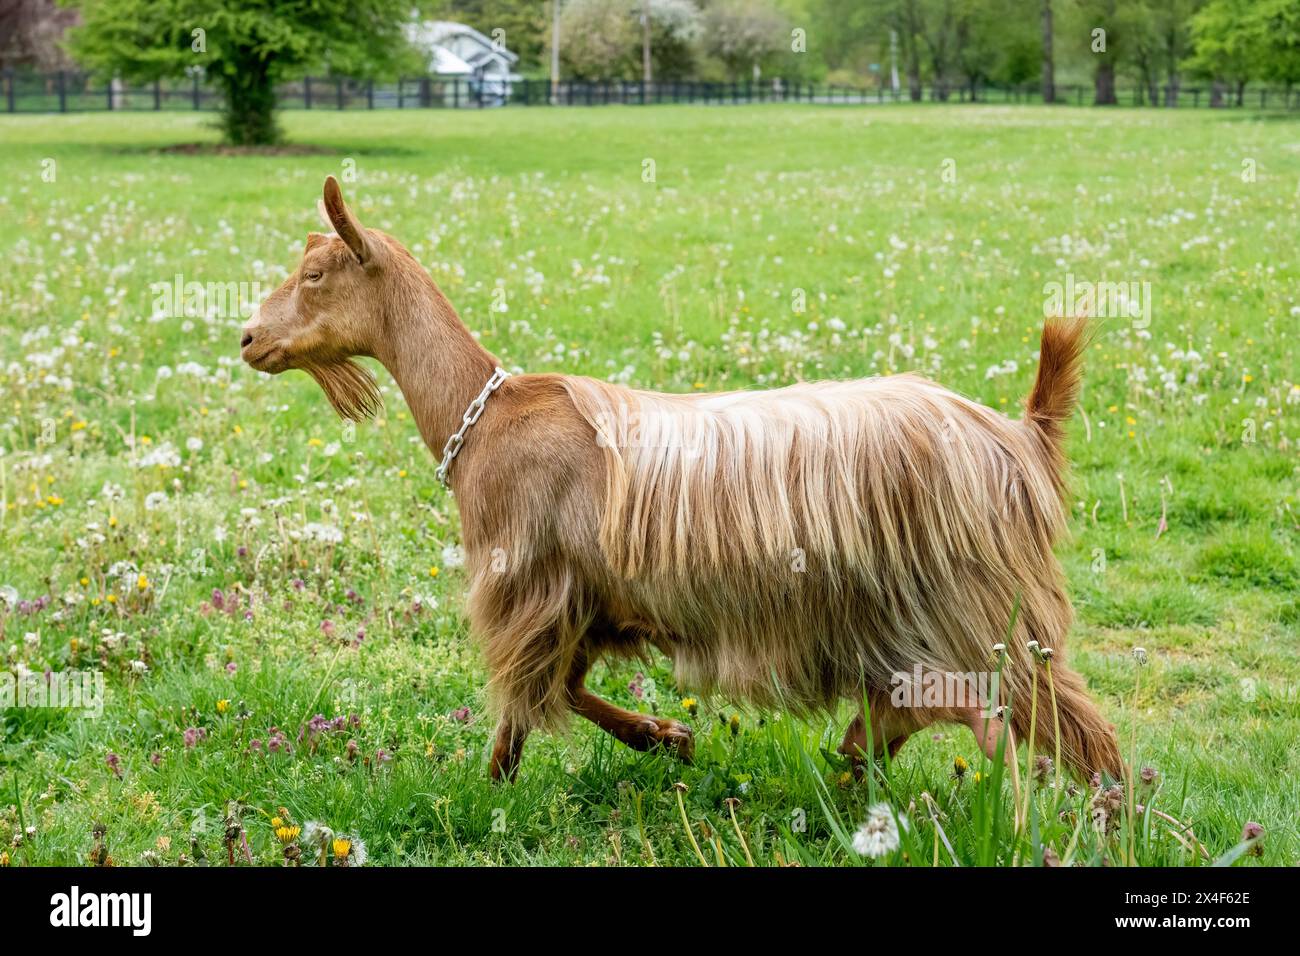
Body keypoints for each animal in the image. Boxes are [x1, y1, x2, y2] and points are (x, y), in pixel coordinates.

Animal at [244, 178, 1128, 785]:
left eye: (317, 273)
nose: (250, 338)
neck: (486, 415)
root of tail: (1020, 434)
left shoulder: (530, 585)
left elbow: (525, 701)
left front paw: (486, 789)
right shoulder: (593, 600)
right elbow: (566, 689)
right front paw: (666, 737)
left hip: (978, 609)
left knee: (1057, 726)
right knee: (950, 712)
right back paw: (856, 771)